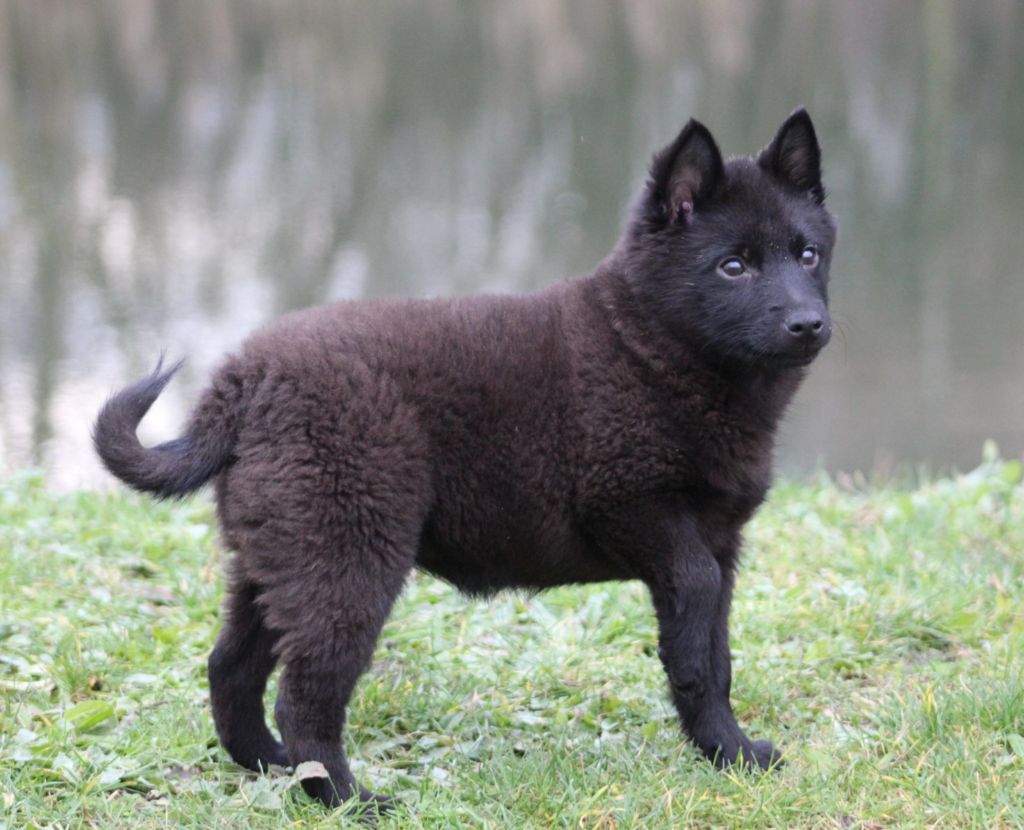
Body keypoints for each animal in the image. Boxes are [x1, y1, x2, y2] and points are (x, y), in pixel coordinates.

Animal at [92, 108, 835, 810]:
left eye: (807, 255)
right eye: (732, 266)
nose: (809, 325)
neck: (650, 346)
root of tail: (245, 380)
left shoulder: (721, 543)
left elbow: (717, 651)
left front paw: (730, 754)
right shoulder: (634, 508)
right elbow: (696, 631)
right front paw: (722, 743)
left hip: (275, 558)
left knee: (230, 669)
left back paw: (271, 768)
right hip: (347, 558)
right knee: (303, 696)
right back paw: (348, 800)